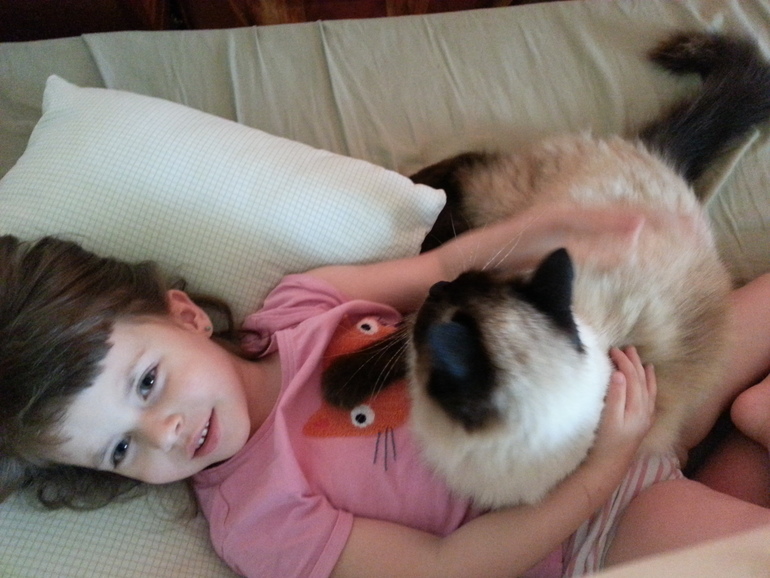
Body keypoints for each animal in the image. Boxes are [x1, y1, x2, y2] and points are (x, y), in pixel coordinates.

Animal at [321, 31, 770, 508]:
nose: (441, 285)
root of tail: (662, 163)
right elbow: (397, 338)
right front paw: (340, 381)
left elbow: (404, 337)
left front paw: (340, 381)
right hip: (507, 204)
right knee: (464, 168)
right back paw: (414, 190)